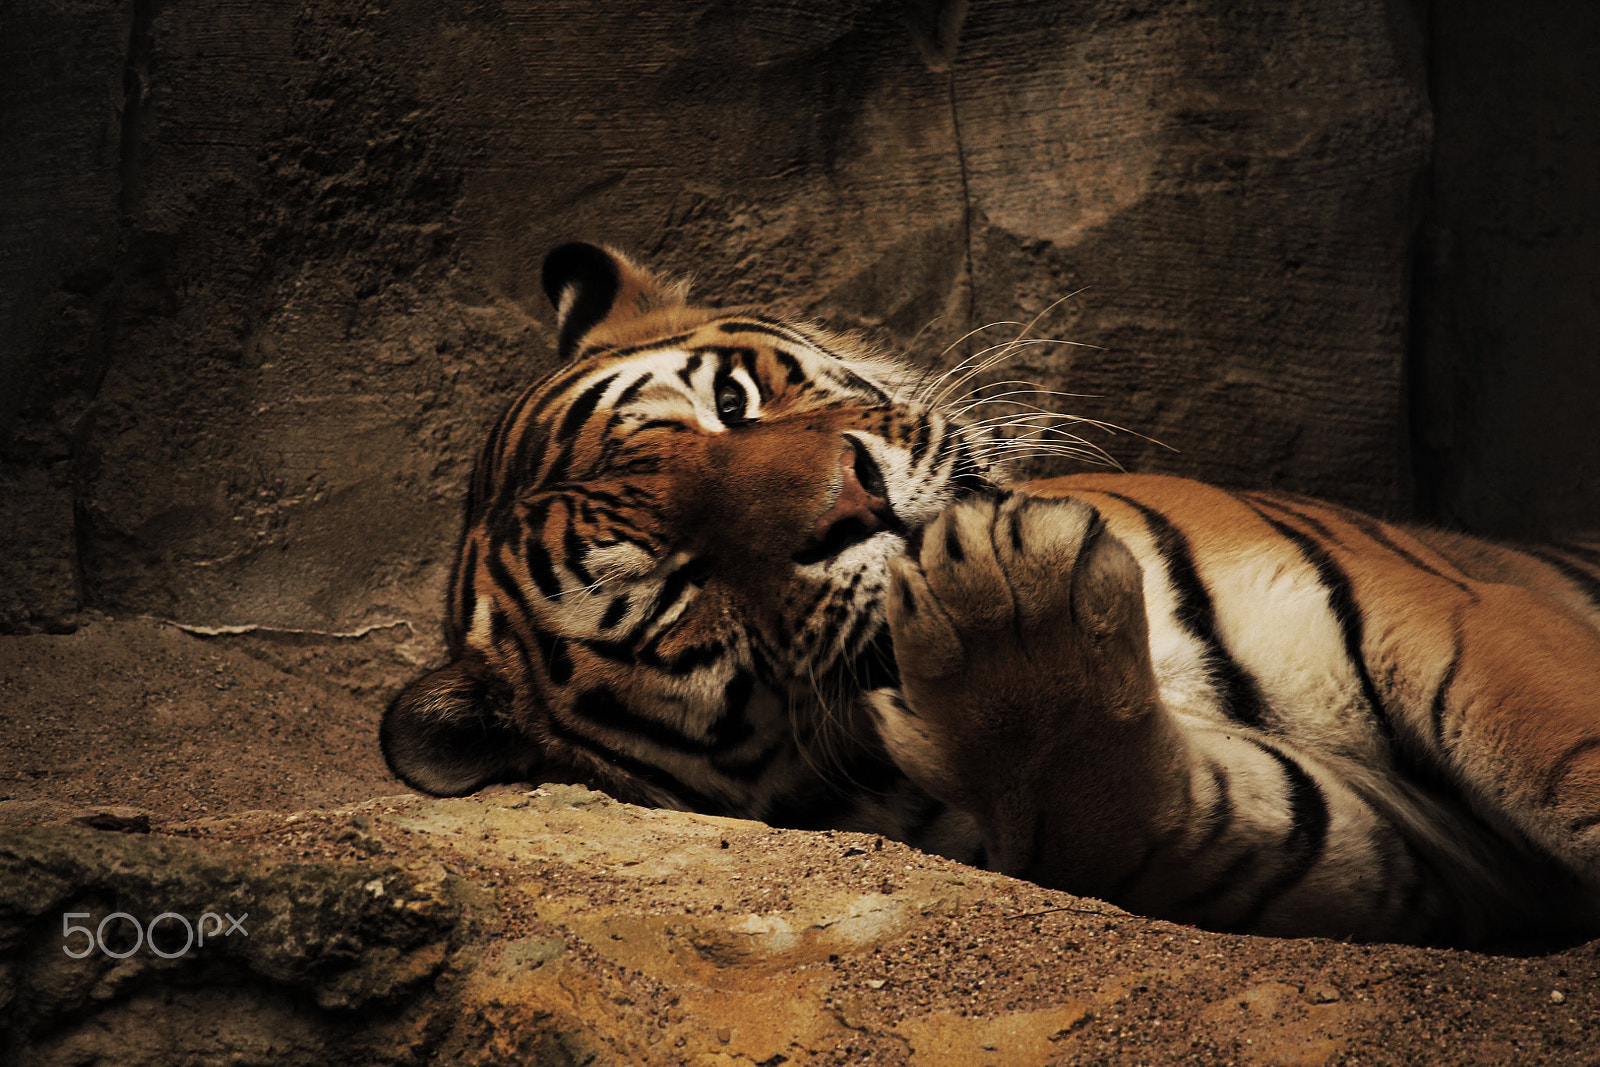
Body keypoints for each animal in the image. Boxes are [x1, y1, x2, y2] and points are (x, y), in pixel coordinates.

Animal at [382, 242, 1600, 948]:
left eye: (729, 402)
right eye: (675, 588)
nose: (855, 500)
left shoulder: (1457, 619)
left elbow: (1565, 755)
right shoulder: (1425, 852)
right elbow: (1166, 811)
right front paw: (1012, 653)